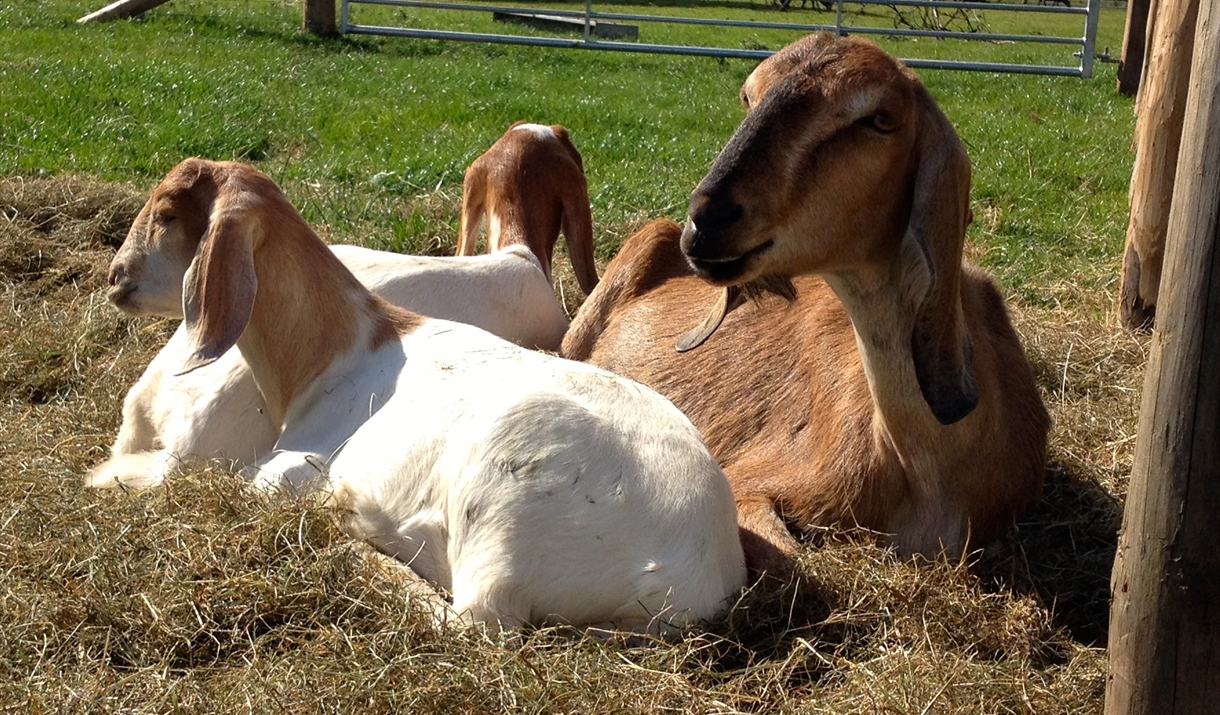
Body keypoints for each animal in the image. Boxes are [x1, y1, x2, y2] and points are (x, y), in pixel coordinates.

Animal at [97, 156, 741, 629]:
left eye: (165, 212)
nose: (115, 278)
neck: (332, 356)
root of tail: (691, 574)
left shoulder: (284, 470)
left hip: (502, 507)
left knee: (470, 620)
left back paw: (356, 529)